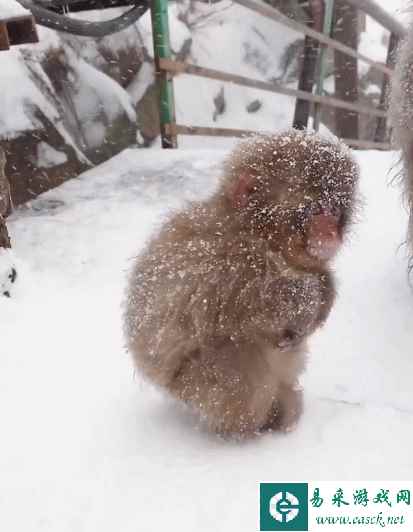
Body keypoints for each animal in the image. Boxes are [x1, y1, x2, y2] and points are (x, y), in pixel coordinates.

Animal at [122, 131, 358, 438]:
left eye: (335, 210)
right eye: (316, 210)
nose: (331, 233)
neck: (254, 233)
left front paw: (325, 287)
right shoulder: (227, 261)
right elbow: (266, 303)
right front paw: (313, 295)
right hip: (191, 384)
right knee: (239, 358)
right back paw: (259, 423)